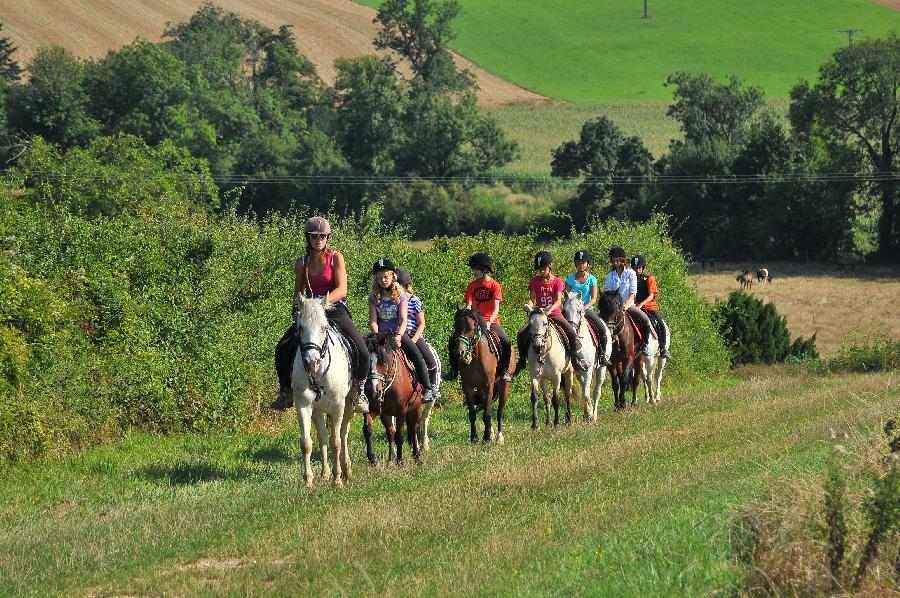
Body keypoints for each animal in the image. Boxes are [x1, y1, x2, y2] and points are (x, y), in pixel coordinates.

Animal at [292, 294, 356, 488]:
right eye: (300, 328)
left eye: (324, 328)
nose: (311, 362)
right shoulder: (303, 406)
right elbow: (307, 443)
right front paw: (308, 481)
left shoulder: (337, 406)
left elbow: (336, 442)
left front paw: (337, 479)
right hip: (318, 410)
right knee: (323, 437)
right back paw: (325, 473)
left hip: (349, 405)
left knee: (343, 434)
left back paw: (346, 469)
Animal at [362, 336, 422, 466]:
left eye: (383, 362)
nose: (373, 391)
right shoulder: (372, 409)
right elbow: (367, 430)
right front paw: (372, 459)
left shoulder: (401, 412)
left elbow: (400, 436)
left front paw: (400, 461)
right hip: (386, 414)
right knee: (390, 431)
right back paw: (391, 459)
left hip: (416, 409)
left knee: (414, 429)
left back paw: (416, 456)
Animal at [450, 310, 512, 446]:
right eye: (456, 326)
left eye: (472, 328)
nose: (459, 353)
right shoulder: (467, 386)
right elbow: (473, 413)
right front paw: (475, 438)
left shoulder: (489, 385)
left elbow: (487, 413)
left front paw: (487, 438)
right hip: (481, 389)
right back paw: (491, 431)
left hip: (504, 385)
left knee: (500, 411)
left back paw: (499, 437)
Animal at [564, 290, 612, 422]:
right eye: (564, 310)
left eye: (579, 311)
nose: (571, 330)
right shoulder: (574, 370)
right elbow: (582, 393)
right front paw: (587, 412)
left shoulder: (589, 368)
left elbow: (586, 394)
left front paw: (590, 415)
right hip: (580, 372)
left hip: (601, 368)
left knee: (596, 392)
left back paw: (594, 415)